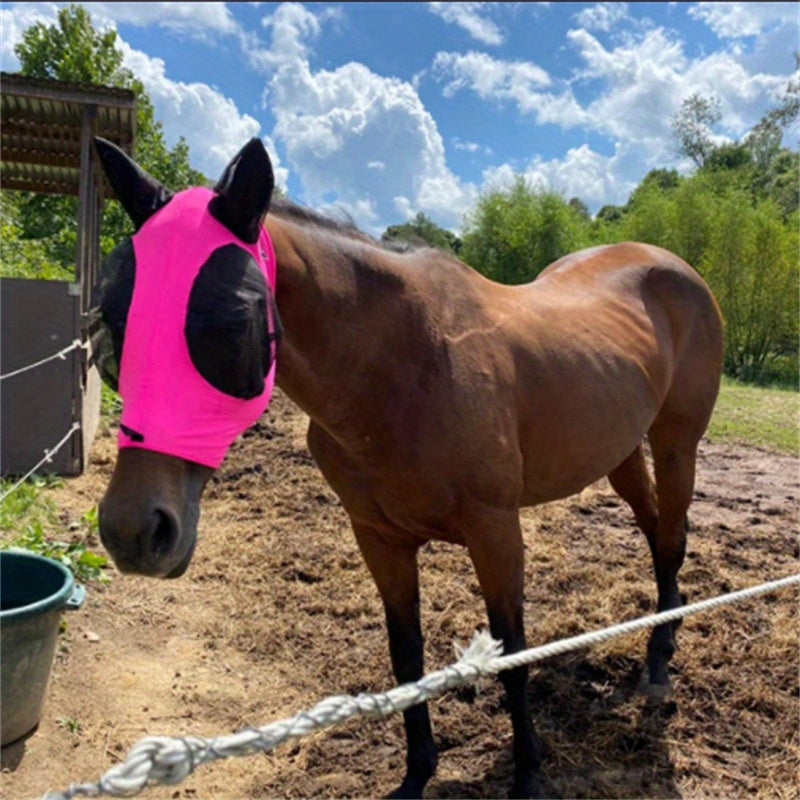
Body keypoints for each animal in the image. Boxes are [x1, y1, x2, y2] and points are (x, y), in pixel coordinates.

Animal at [93, 136, 723, 799]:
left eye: (236, 319)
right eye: (113, 318)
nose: (134, 531)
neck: (405, 364)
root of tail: (671, 266)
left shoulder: (496, 531)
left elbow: (511, 655)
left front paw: (528, 774)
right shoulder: (379, 538)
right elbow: (406, 659)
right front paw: (417, 772)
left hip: (676, 444)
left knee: (672, 534)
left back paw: (659, 661)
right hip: (620, 452)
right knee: (655, 531)